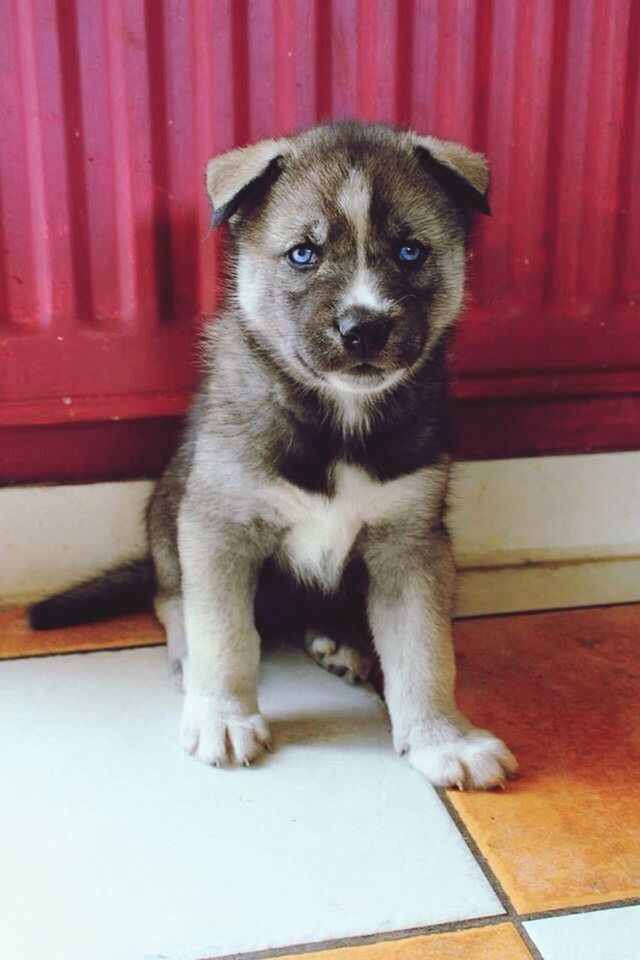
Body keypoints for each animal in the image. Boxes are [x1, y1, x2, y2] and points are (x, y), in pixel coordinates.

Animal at [32, 124, 516, 792]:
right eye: (303, 255)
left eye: (411, 251)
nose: (364, 329)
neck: (340, 419)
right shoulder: (219, 527)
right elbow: (225, 632)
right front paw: (223, 716)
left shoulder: (411, 543)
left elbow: (425, 651)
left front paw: (443, 739)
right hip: (167, 508)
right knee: (171, 597)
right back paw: (190, 655)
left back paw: (342, 641)